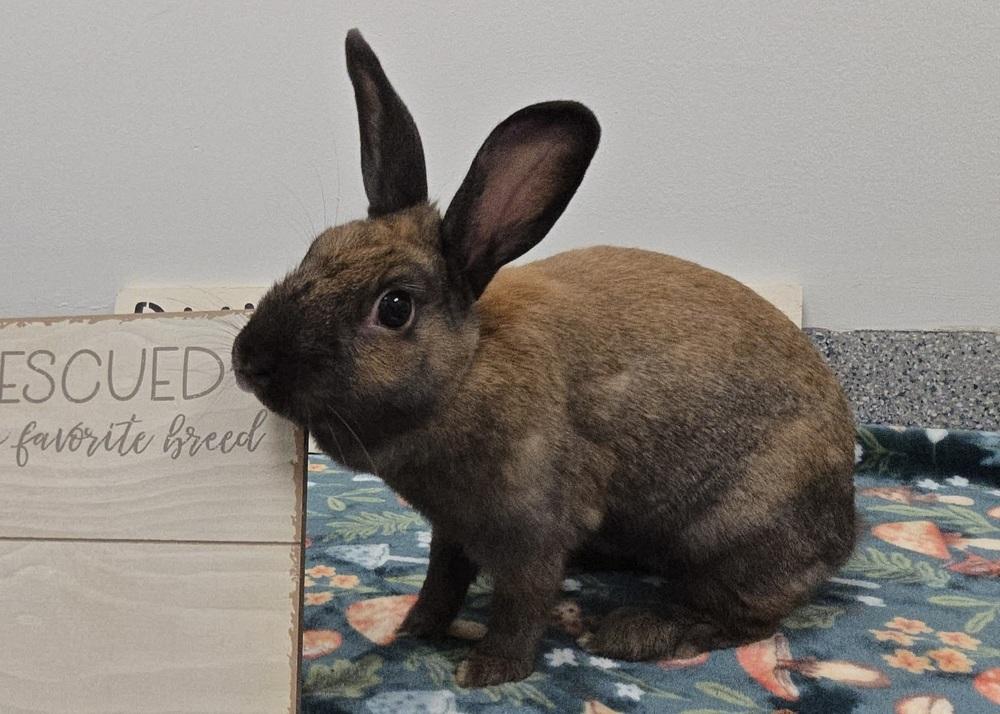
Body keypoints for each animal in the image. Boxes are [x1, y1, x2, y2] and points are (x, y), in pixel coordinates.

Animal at [232, 29, 857, 688]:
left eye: (395, 307)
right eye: (318, 248)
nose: (249, 360)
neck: (466, 368)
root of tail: (844, 527)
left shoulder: (532, 531)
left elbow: (521, 602)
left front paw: (488, 671)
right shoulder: (451, 529)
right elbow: (442, 581)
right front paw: (413, 629)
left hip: (734, 530)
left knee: (746, 616)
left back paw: (637, 631)